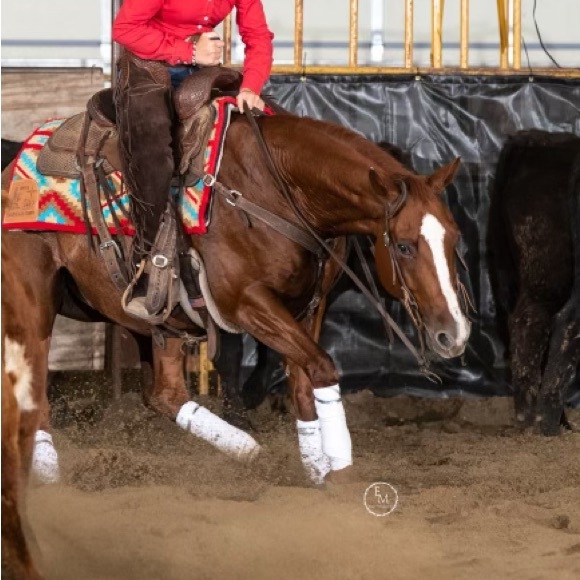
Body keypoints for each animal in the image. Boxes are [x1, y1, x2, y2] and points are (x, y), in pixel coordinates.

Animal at [2, 96, 470, 577]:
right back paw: (52, 488)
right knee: (37, 397)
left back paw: (244, 448)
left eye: (454, 238)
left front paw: (317, 472)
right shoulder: (246, 303)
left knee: (164, 393)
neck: (278, 191)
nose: (453, 334)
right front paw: (340, 471)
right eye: (405, 246)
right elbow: (323, 367)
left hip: (158, 320)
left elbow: (304, 388)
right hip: (34, 302)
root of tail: (17, 159)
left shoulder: (309, 307)